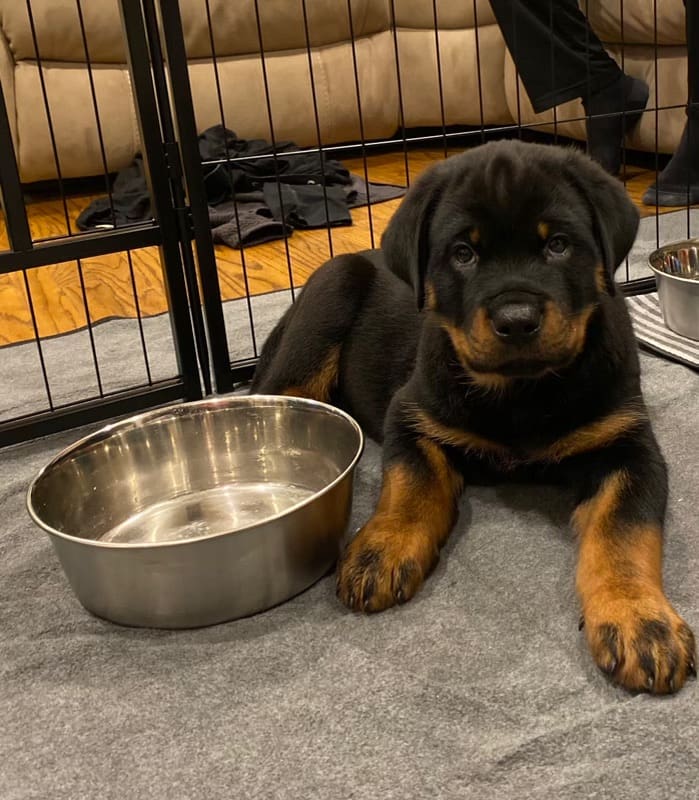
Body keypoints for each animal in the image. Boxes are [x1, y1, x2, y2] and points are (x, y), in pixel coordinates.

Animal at [250, 139, 696, 692]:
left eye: (558, 245)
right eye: (463, 254)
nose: (517, 320)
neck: (522, 392)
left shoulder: (628, 444)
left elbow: (624, 532)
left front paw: (640, 621)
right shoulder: (411, 411)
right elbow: (411, 483)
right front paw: (382, 548)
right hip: (330, 295)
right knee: (281, 399)